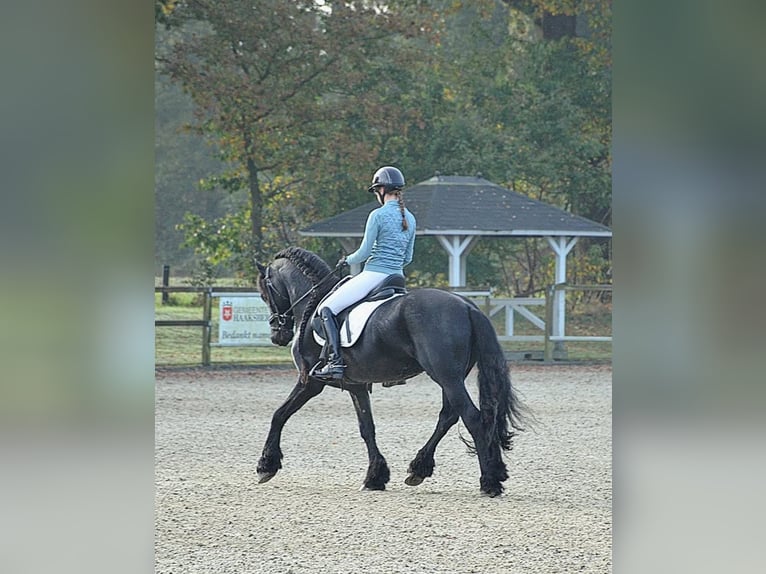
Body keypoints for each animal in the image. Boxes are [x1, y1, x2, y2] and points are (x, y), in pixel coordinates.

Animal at [256, 248, 528, 500]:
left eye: (264, 293)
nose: (277, 335)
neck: (313, 306)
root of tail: (468, 306)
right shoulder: (356, 385)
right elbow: (367, 428)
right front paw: (375, 477)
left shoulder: (311, 382)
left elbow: (279, 414)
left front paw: (266, 466)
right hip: (451, 377)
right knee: (451, 416)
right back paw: (422, 469)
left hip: (446, 376)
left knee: (472, 417)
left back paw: (489, 482)